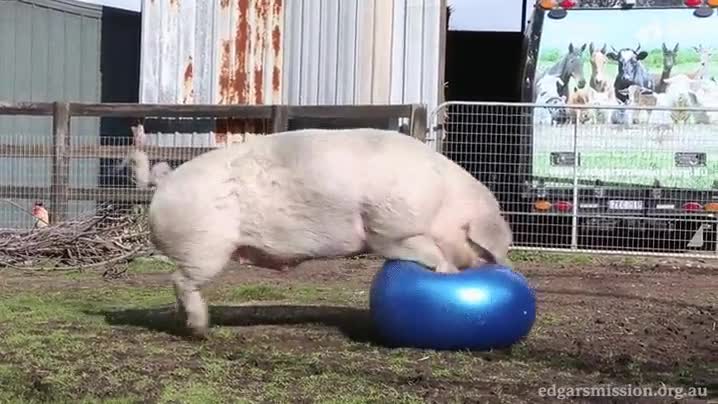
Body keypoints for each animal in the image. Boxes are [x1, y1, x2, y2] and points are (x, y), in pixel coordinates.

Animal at [135, 128, 513, 338]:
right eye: (481, 248)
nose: (506, 268)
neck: (443, 201)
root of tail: (163, 184)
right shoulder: (388, 229)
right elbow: (425, 249)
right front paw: (447, 272)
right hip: (205, 249)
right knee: (179, 280)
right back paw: (201, 330)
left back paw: (188, 325)